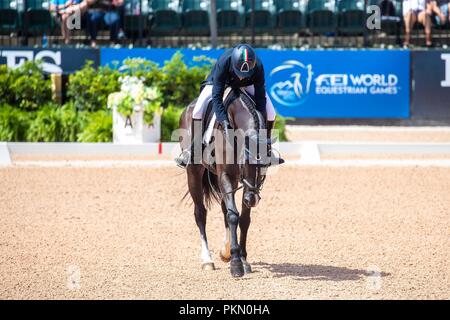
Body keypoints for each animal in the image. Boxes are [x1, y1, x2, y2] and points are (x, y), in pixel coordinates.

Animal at [178, 89, 270, 278]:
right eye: (244, 162)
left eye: (265, 164)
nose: (252, 199)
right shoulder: (226, 175)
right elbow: (233, 215)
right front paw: (236, 264)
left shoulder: (241, 182)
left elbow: (243, 219)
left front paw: (241, 259)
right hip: (193, 173)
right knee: (200, 213)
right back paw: (207, 260)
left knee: (224, 209)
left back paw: (225, 251)